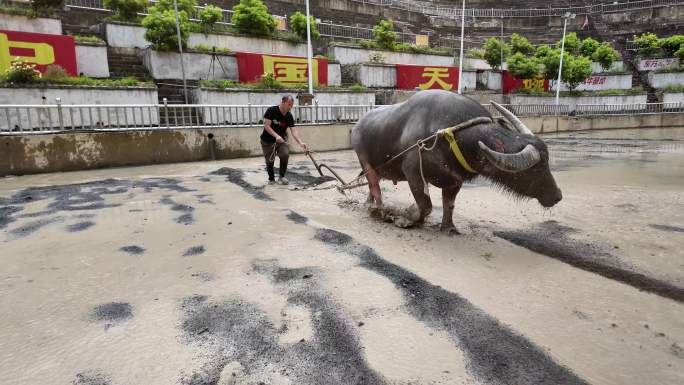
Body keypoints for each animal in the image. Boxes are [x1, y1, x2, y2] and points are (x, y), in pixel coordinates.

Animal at [352, 88, 560, 230]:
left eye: (547, 163)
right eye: (535, 169)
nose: (558, 195)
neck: (450, 135)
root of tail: (358, 125)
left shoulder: (455, 180)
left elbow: (449, 205)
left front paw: (449, 228)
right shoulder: (413, 172)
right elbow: (425, 205)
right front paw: (406, 217)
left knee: (372, 185)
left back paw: (370, 203)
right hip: (364, 159)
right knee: (375, 185)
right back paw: (379, 210)